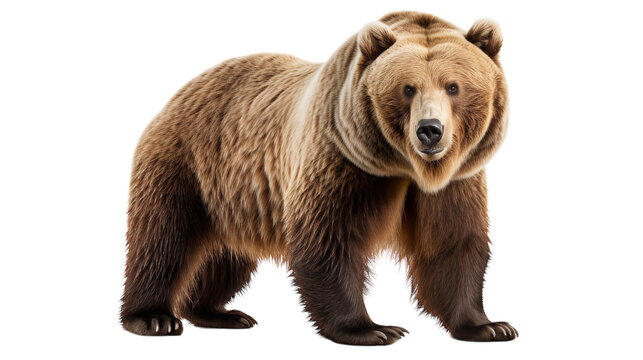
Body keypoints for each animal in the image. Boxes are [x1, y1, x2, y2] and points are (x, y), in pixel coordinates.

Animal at [121, 9, 520, 344]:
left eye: (454, 86)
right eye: (408, 88)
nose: (430, 130)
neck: (404, 167)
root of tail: (180, 92)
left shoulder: (454, 182)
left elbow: (453, 243)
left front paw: (489, 326)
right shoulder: (342, 160)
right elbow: (329, 238)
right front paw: (372, 329)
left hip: (234, 197)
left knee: (225, 255)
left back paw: (218, 313)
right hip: (187, 164)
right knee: (163, 238)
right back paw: (154, 317)